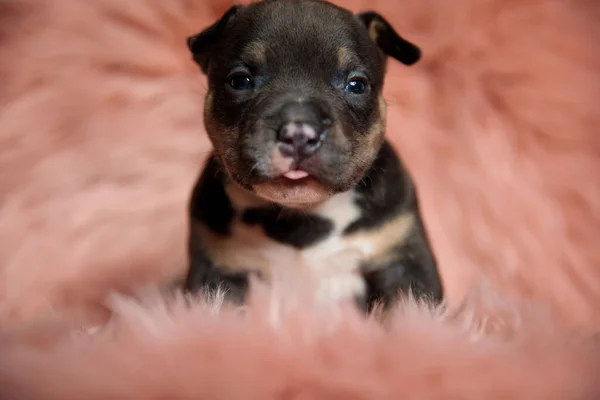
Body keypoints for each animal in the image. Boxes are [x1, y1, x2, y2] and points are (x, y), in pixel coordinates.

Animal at [185, 0, 442, 312]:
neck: (304, 215)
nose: (299, 132)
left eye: (357, 85)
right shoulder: (217, 272)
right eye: (240, 81)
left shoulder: (403, 262)